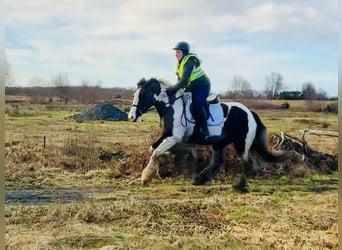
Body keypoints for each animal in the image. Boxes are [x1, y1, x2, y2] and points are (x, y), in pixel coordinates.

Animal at [128, 77, 292, 190]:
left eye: (143, 95)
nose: (131, 117)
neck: (173, 106)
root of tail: (250, 112)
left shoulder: (173, 137)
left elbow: (156, 152)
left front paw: (145, 177)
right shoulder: (168, 136)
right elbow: (153, 150)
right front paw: (158, 167)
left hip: (242, 143)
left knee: (246, 161)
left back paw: (240, 184)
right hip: (219, 142)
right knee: (217, 162)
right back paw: (201, 179)